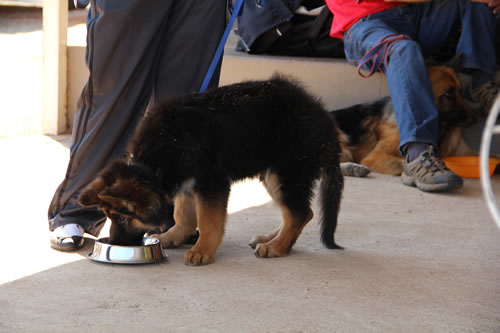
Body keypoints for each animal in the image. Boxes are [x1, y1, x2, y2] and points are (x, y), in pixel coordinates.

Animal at [78, 74, 344, 264]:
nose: (115, 242)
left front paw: (203, 250)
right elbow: (183, 216)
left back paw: (276, 247)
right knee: (293, 212)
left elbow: (208, 220)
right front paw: (174, 236)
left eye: (123, 217)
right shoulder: (185, 181)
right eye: (109, 217)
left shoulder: (211, 182)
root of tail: (325, 120)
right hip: (273, 175)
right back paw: (272, 238)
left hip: (286, 172)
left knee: (300, 213)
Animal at [332, 63, 476, 175]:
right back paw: (352, 168)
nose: (475, 118)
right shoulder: (375, 157)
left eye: (460, 92)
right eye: (448, 94)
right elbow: (402, 162)